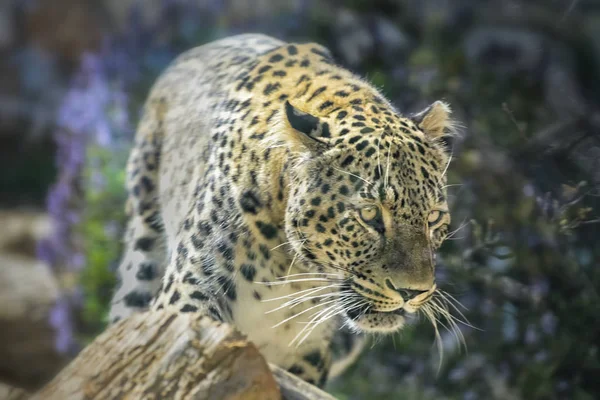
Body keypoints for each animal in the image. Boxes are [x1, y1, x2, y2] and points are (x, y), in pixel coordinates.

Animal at [109, 33, 454, 388]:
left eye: (433, 218)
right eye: (370, 214)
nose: (412, 292)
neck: (291, 271)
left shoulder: (305, 354)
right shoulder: (186, 298)